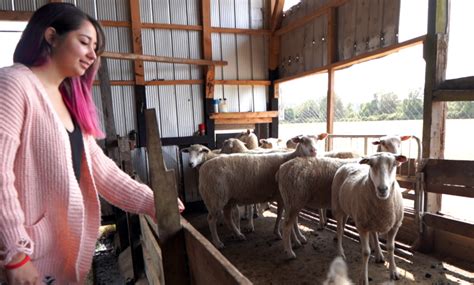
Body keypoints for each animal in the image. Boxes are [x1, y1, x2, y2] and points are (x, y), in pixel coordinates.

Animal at [198, 133, 328, 246]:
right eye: (302, 141)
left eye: (318, 139)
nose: (314, 151)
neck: (290, 158)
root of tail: (203, 169)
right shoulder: (289, 197)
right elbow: (293, 220)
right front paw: (297, 239)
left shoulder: (281, 197)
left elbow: (280, 215)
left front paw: (279, 233)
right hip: (215, 197)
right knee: (211, 219)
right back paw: (217, 242)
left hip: (227, 199)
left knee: (227, 217)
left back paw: (238, 235)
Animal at [330, 153, 408, 284]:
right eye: (371, 165)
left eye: (394, 164)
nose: (382, 189)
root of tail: (347, 164)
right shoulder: (362, 226)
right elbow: (366, 252)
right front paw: (363, 278)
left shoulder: (395, 225)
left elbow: (391, 247)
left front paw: (393, 271)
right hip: (338, 207)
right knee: (340, 230)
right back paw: (340, 252)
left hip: (366, 216)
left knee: (373, 233)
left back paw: (379, 254)